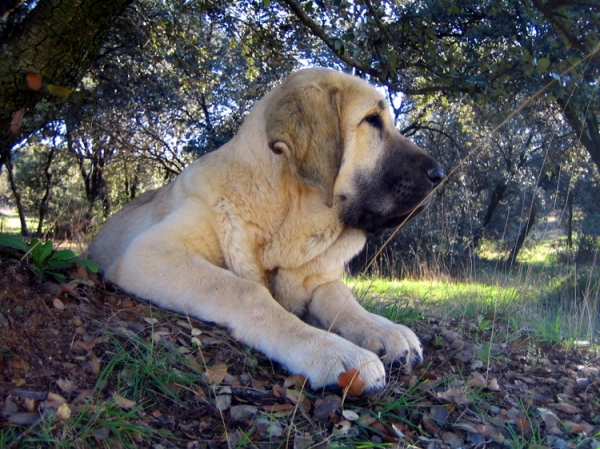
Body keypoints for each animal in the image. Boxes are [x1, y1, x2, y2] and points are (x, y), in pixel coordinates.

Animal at [89, 67, 446, 392]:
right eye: (372, 120)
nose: (440, 174)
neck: (281, 216)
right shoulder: (152, 250)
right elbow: (245, 290)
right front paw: (329, 348)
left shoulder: (317, 278)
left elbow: (341, 298)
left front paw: (382, 329)